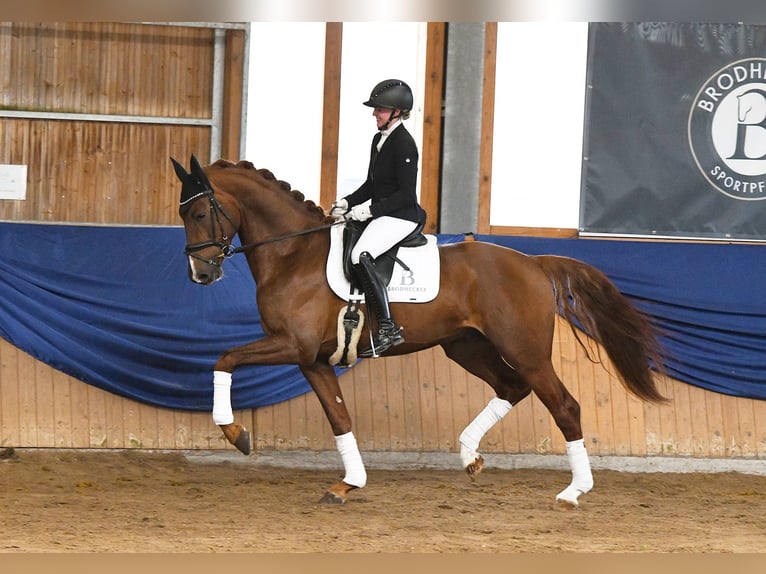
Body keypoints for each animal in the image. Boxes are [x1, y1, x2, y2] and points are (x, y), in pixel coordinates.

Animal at [171, 154, 668, 508]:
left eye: (199, 214)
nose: (199, 274)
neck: (294, 255)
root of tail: (532, 262)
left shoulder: (292, 345)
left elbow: (225, 359)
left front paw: (235, 434)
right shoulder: (312, 358)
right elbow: (340, 418)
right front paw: (349, 483)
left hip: (525, 350)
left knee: (564, 405)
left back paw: (573, 492)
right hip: (466, 346)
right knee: (511, 387)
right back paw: (470, 456)